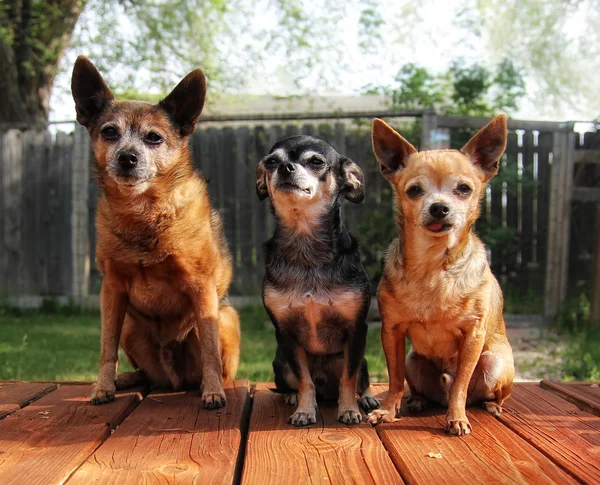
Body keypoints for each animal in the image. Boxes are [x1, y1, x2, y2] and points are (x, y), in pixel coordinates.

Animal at [71, 54, 239, 406]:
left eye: (154, 137)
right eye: (109, 132)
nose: (127, 158)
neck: (144, 215)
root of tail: (173, 378)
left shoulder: (202, 289)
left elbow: (209, 351)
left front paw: (213, 393)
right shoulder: (112, 291)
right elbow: (106, 348)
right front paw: (102, 386)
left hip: (227, 317)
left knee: (217, 365)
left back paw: (210, 385)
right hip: (129, 326)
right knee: (146, 373)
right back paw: (124, 379)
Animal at [256, 135, 380, 424]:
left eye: (316, 162)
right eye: (271, 162)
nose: (285, 168)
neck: (306, 247)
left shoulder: (356, 331)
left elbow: (349, 377)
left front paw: (349, 410)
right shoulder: (286, 334)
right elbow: (305, 380)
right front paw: (304, 410)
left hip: (361, 359)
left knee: (361, 377)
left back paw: (366, 398)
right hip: (280, 362)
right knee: (292, 383)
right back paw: (292, 397)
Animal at [370, 115, 516, 432]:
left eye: (464, 189)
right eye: (414, 190)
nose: (439, 207)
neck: (433, 265)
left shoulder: (472, 337)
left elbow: (460, 382)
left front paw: (456, 418)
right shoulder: (392, 333)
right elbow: (394, 379)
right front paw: (387, 410)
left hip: (494, 363)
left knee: (480, 393)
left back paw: (490, 406)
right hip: (414, 359)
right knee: (418, 387)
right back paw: (417, 401)